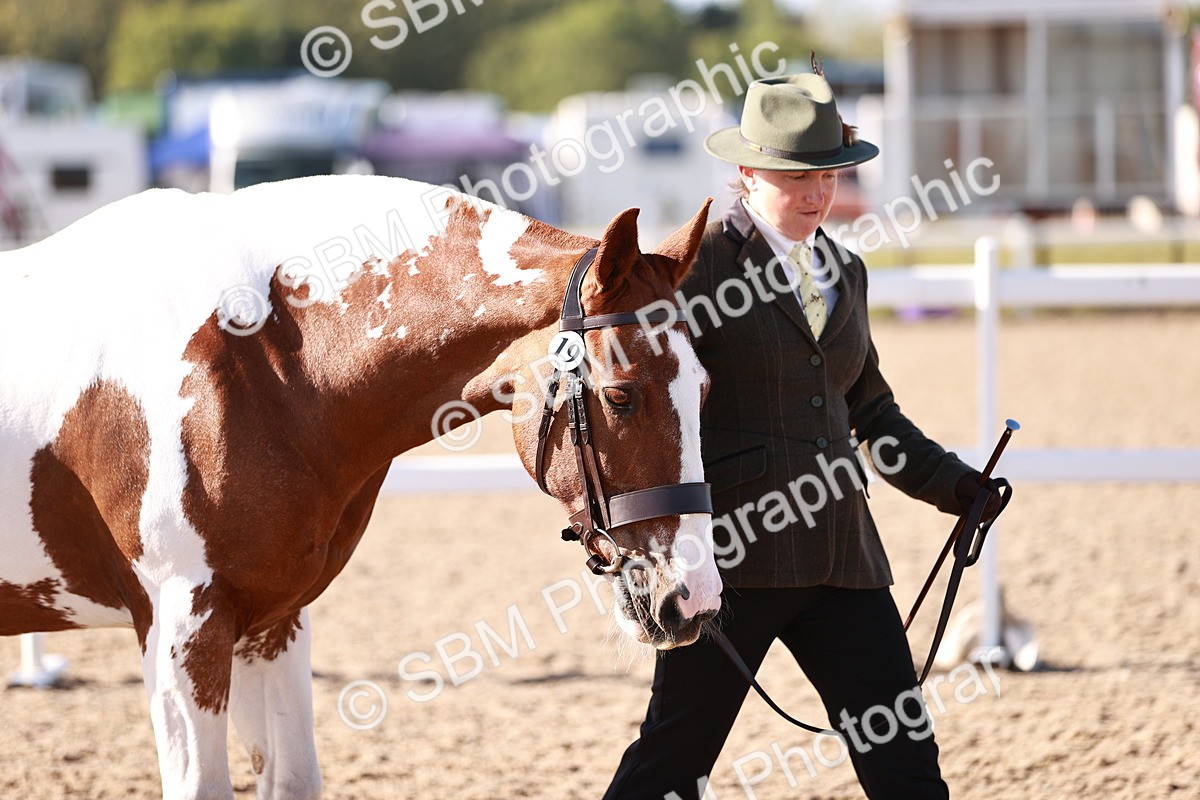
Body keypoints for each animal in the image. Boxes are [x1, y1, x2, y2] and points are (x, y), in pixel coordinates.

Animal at [0, 174, 720, 800]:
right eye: (621, 396)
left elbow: (293, 781)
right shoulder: (182, 625)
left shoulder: (271, 620)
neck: (256, 356)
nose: (692, 599)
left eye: (704, 388)